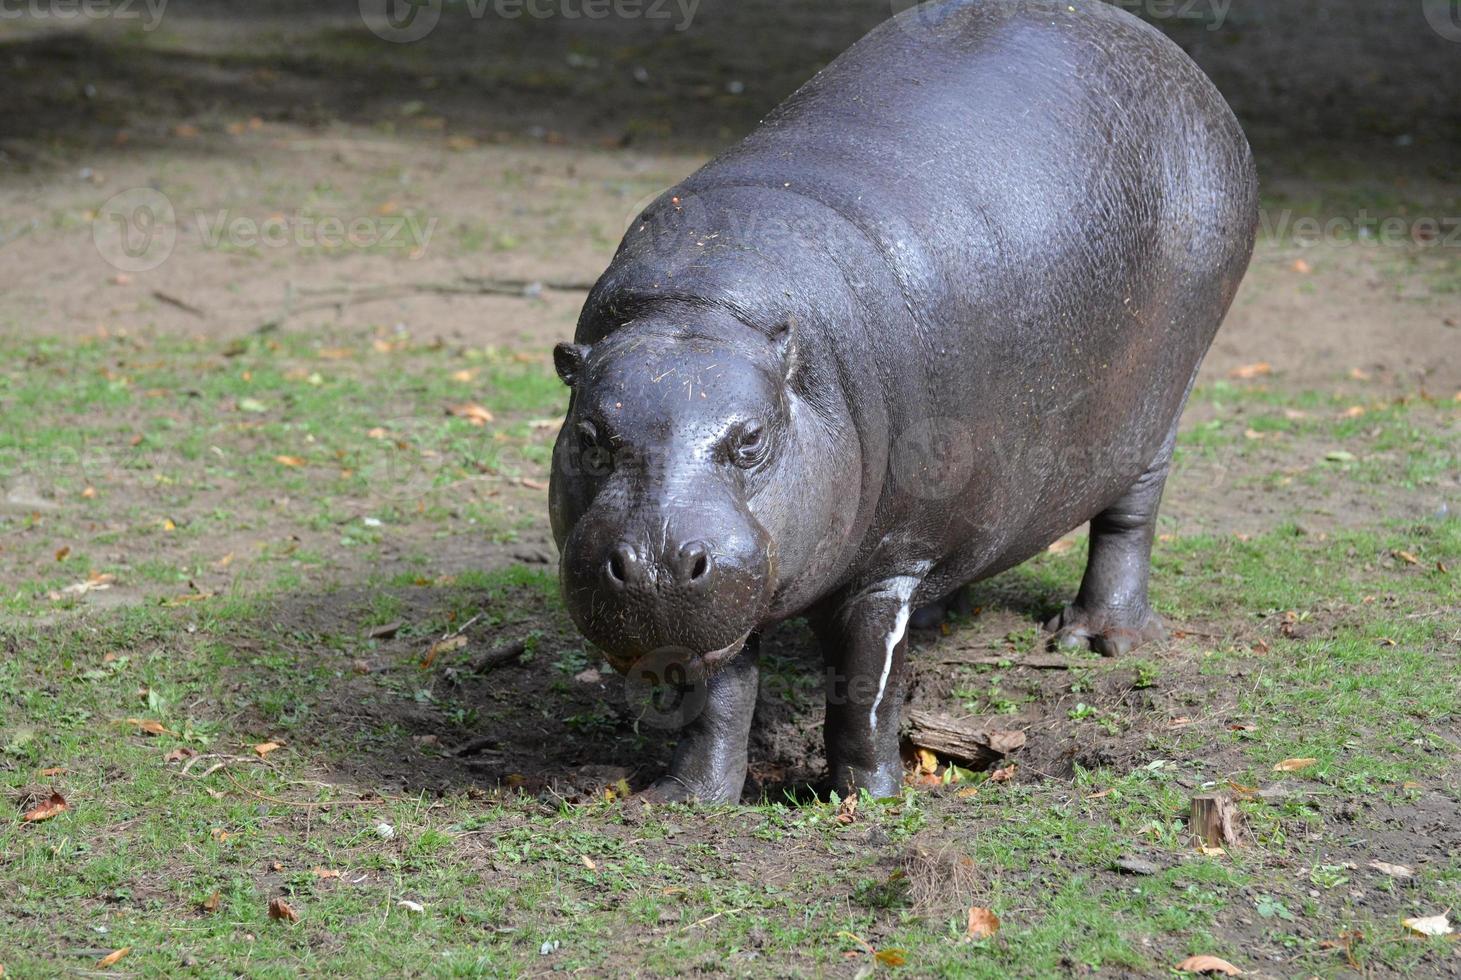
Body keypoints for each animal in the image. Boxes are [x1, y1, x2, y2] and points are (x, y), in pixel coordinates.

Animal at [546, 0, 1256, 806]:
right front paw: (685, 800)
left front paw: (868, 797)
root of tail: (1164, 48)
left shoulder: (890, 562)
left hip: (1162, 399)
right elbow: (718, 696)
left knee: (1130, 515)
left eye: (752, 440)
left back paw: (1098, 638)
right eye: (589, 436)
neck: (703, 310)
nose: (657, 565)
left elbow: (866, 688)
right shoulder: (737, 578)